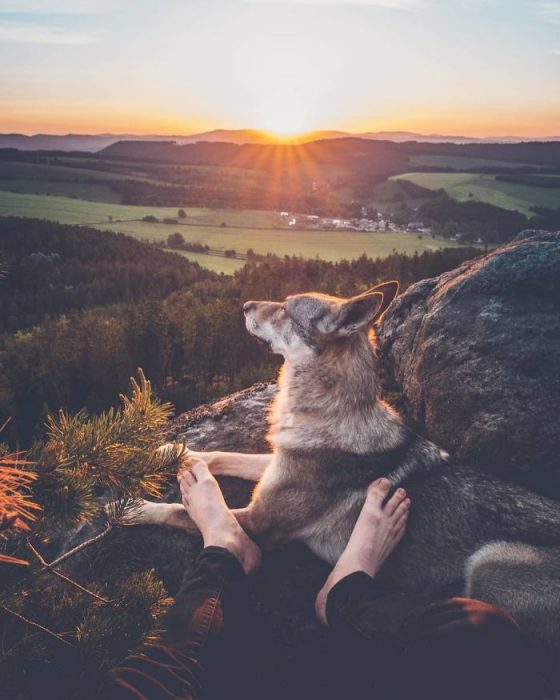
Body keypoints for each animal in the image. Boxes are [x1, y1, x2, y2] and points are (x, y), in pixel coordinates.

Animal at [132, 282, 560, 664]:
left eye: (287, 309)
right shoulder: (275, 464)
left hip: (490, 563)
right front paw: (169, 451)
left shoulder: (258, 523)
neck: (327, 414)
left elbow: (184, 510)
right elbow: (220, 454)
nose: (245, 305)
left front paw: (133, 508)